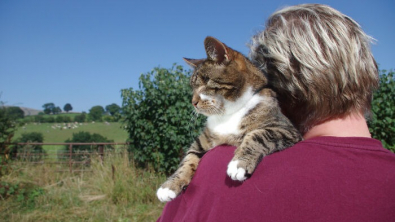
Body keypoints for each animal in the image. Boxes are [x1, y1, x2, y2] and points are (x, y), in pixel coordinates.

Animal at [156, 36, 302, 203]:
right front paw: (168, 186)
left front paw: (239, 164)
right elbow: (187, 159)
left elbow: (257, 135)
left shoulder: (286, 128)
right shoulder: (201, 141)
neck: (228, 114)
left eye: (206, 81)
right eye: (193, 87)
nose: (193, 102)